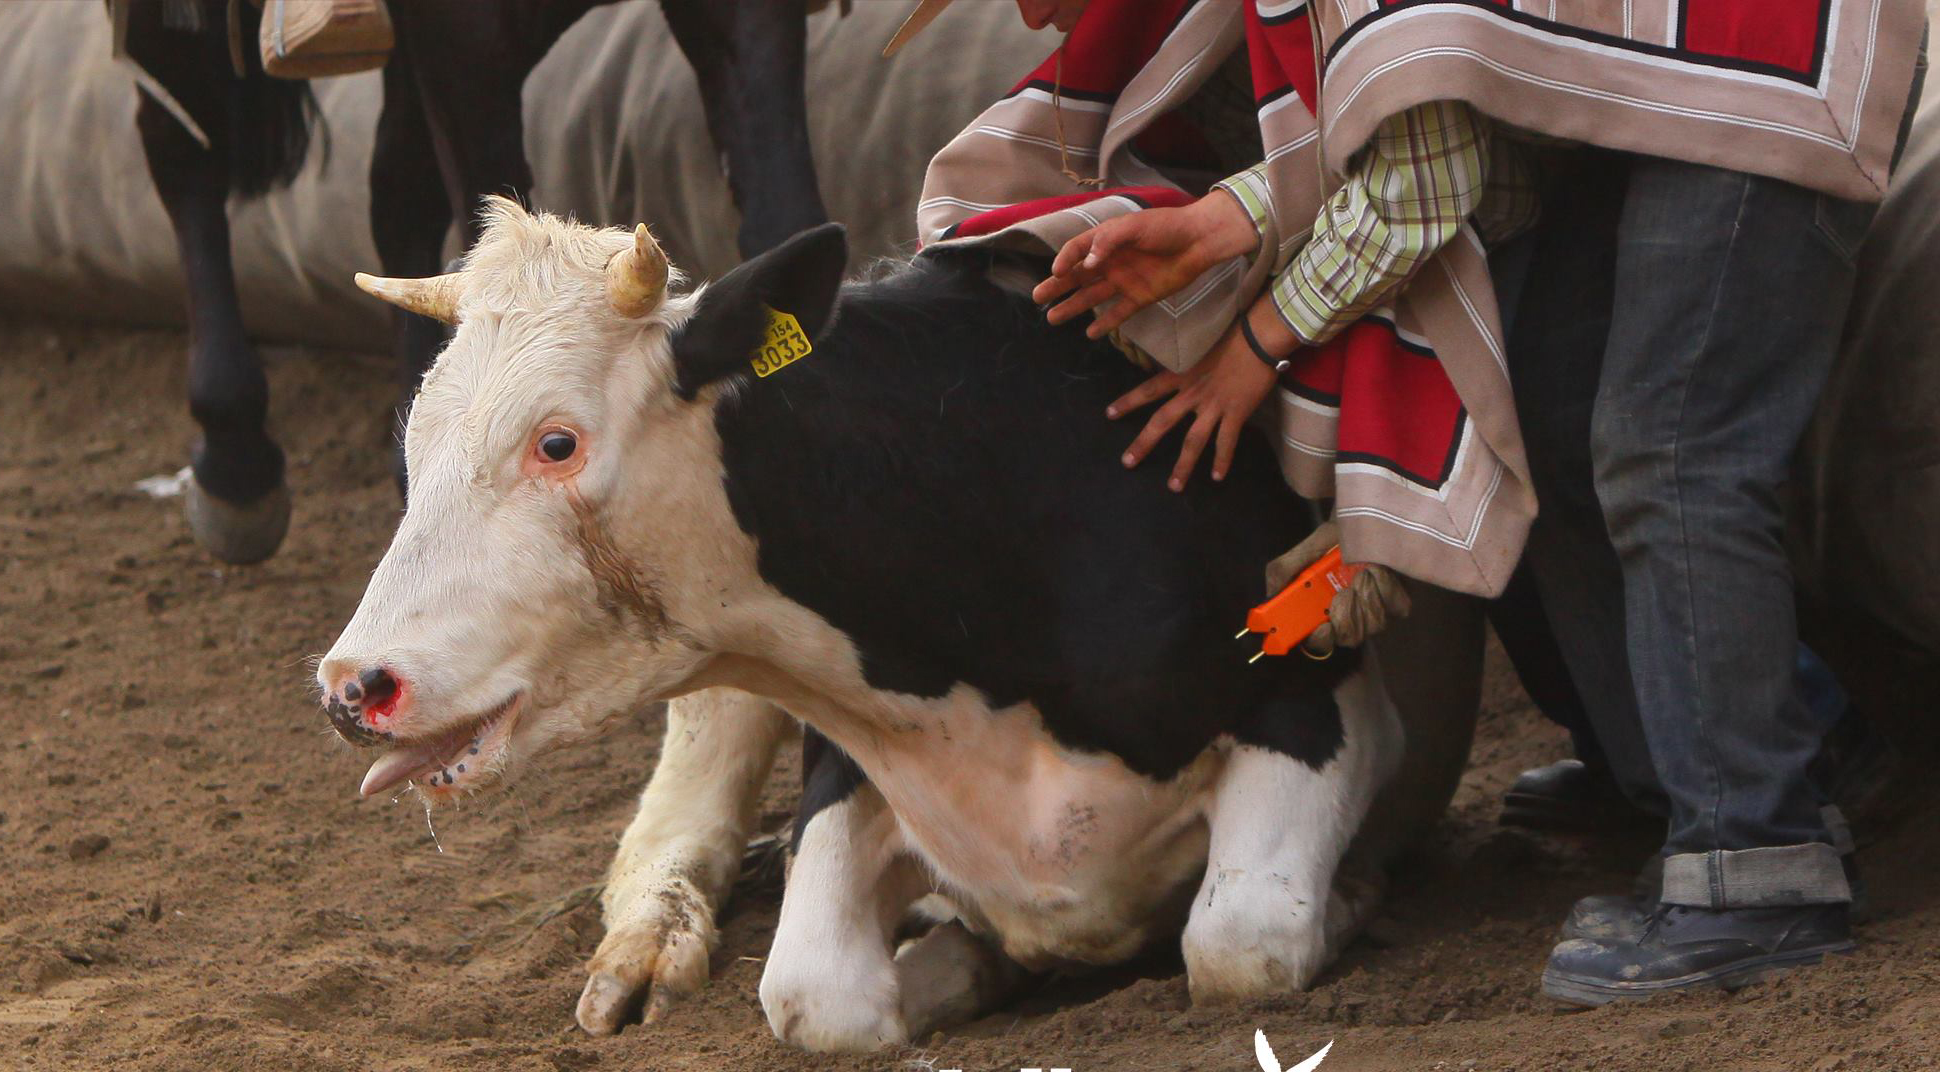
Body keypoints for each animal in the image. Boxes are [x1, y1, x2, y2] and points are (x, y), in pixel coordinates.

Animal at [318, 196, 1474, 1046]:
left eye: (556, 442)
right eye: (414, 437)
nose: (352, 686)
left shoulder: (1327, 704)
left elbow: (1241, 940)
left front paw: (1355, 893)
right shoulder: (845, 754)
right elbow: (816, 997)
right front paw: (958, 956)